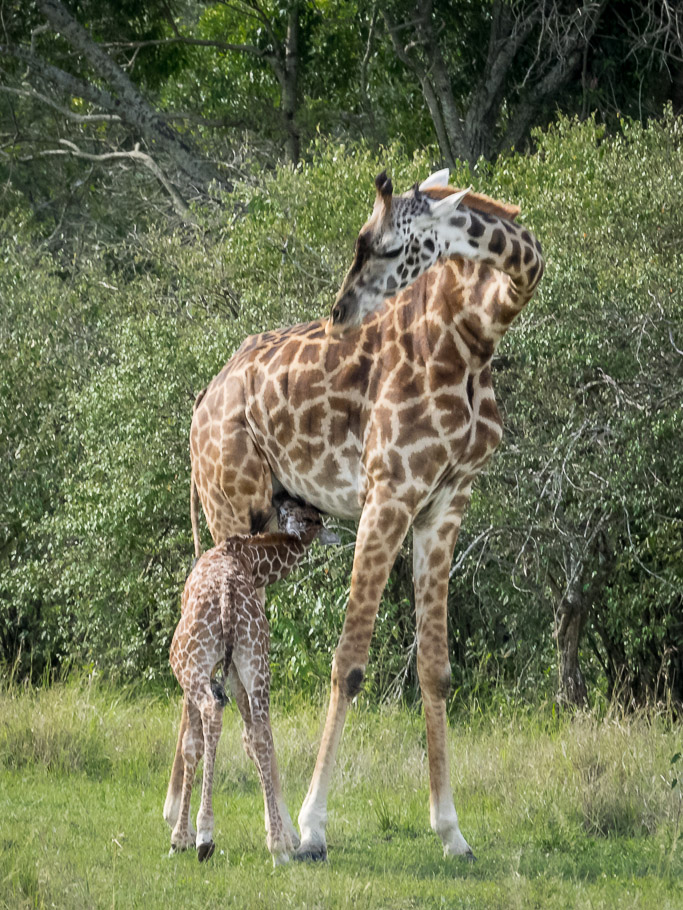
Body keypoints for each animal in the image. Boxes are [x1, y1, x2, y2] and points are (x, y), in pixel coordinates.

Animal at [164, 495, 336, 865]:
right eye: (303, 513)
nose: (281, 497)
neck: (246, 557)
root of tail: (227, 599)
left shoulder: (200, 672)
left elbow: (191, 744)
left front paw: (180, 837)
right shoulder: (233, 672)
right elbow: (249, 739)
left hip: (189, 662)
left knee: (214, 714)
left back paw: (204, 835)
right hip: (256, 660)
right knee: (260, 734)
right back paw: (278, 847)